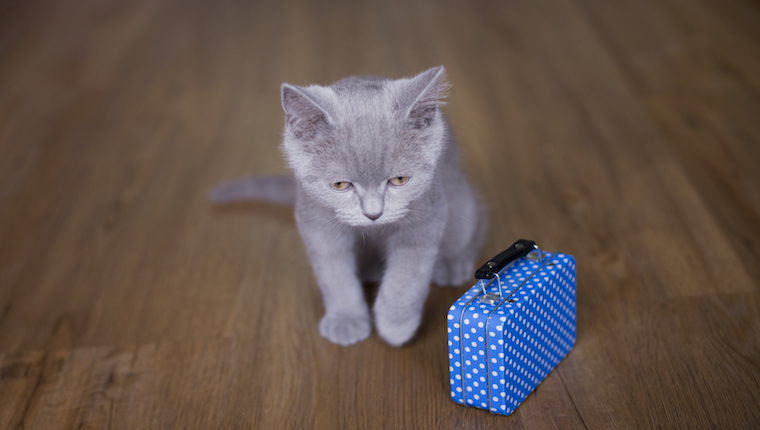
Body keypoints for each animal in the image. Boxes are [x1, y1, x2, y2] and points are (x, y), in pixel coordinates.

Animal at [212, 66, 486, 346]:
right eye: (340, 184)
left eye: (399, 180)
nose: (373, 213)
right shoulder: (316, 221)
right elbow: (334, 275)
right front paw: (346, 320)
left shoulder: (426, 216)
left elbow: (407, 276)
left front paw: (396, 324)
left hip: (460, 202)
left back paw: (452, 264)